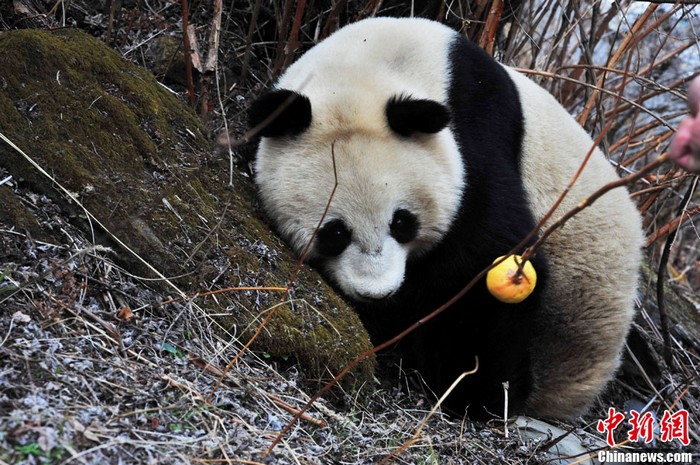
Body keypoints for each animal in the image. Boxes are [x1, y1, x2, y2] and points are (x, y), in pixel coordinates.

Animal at [249, 16, 644, 418]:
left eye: (402, 222)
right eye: (335, 233)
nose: (377, 292)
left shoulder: (476, 136)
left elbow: (487, 257)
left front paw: (474, 393)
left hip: (574, 308)